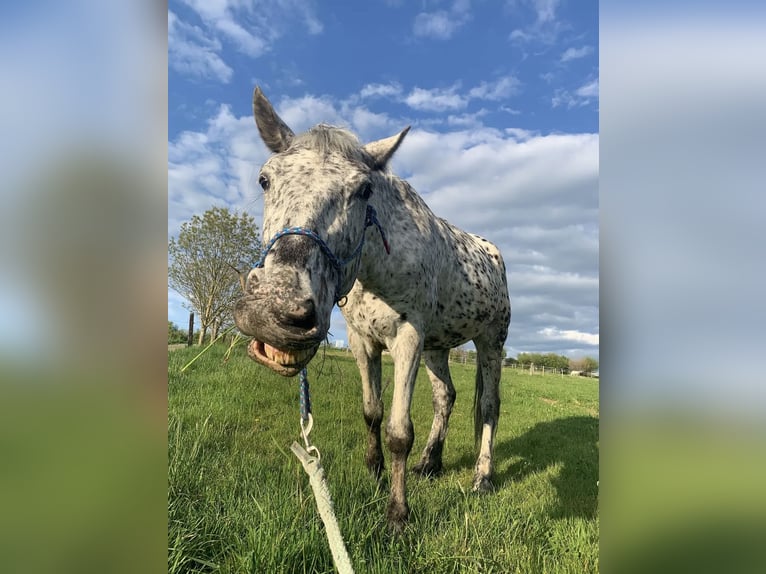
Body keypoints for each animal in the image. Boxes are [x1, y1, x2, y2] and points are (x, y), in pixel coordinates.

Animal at [234, 88, 510, 532]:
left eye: (364, 190)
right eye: (265, 179)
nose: (278, 310)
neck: (380, 267)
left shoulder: (408, 341)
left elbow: (399, 430)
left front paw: (397, 514)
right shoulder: (363, 342)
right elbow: (372, 412)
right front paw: (376, 473)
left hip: (490, 342)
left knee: (488, 406)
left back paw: (482, 477)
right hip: (438, 348)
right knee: (445, 397)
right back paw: (430, 464)